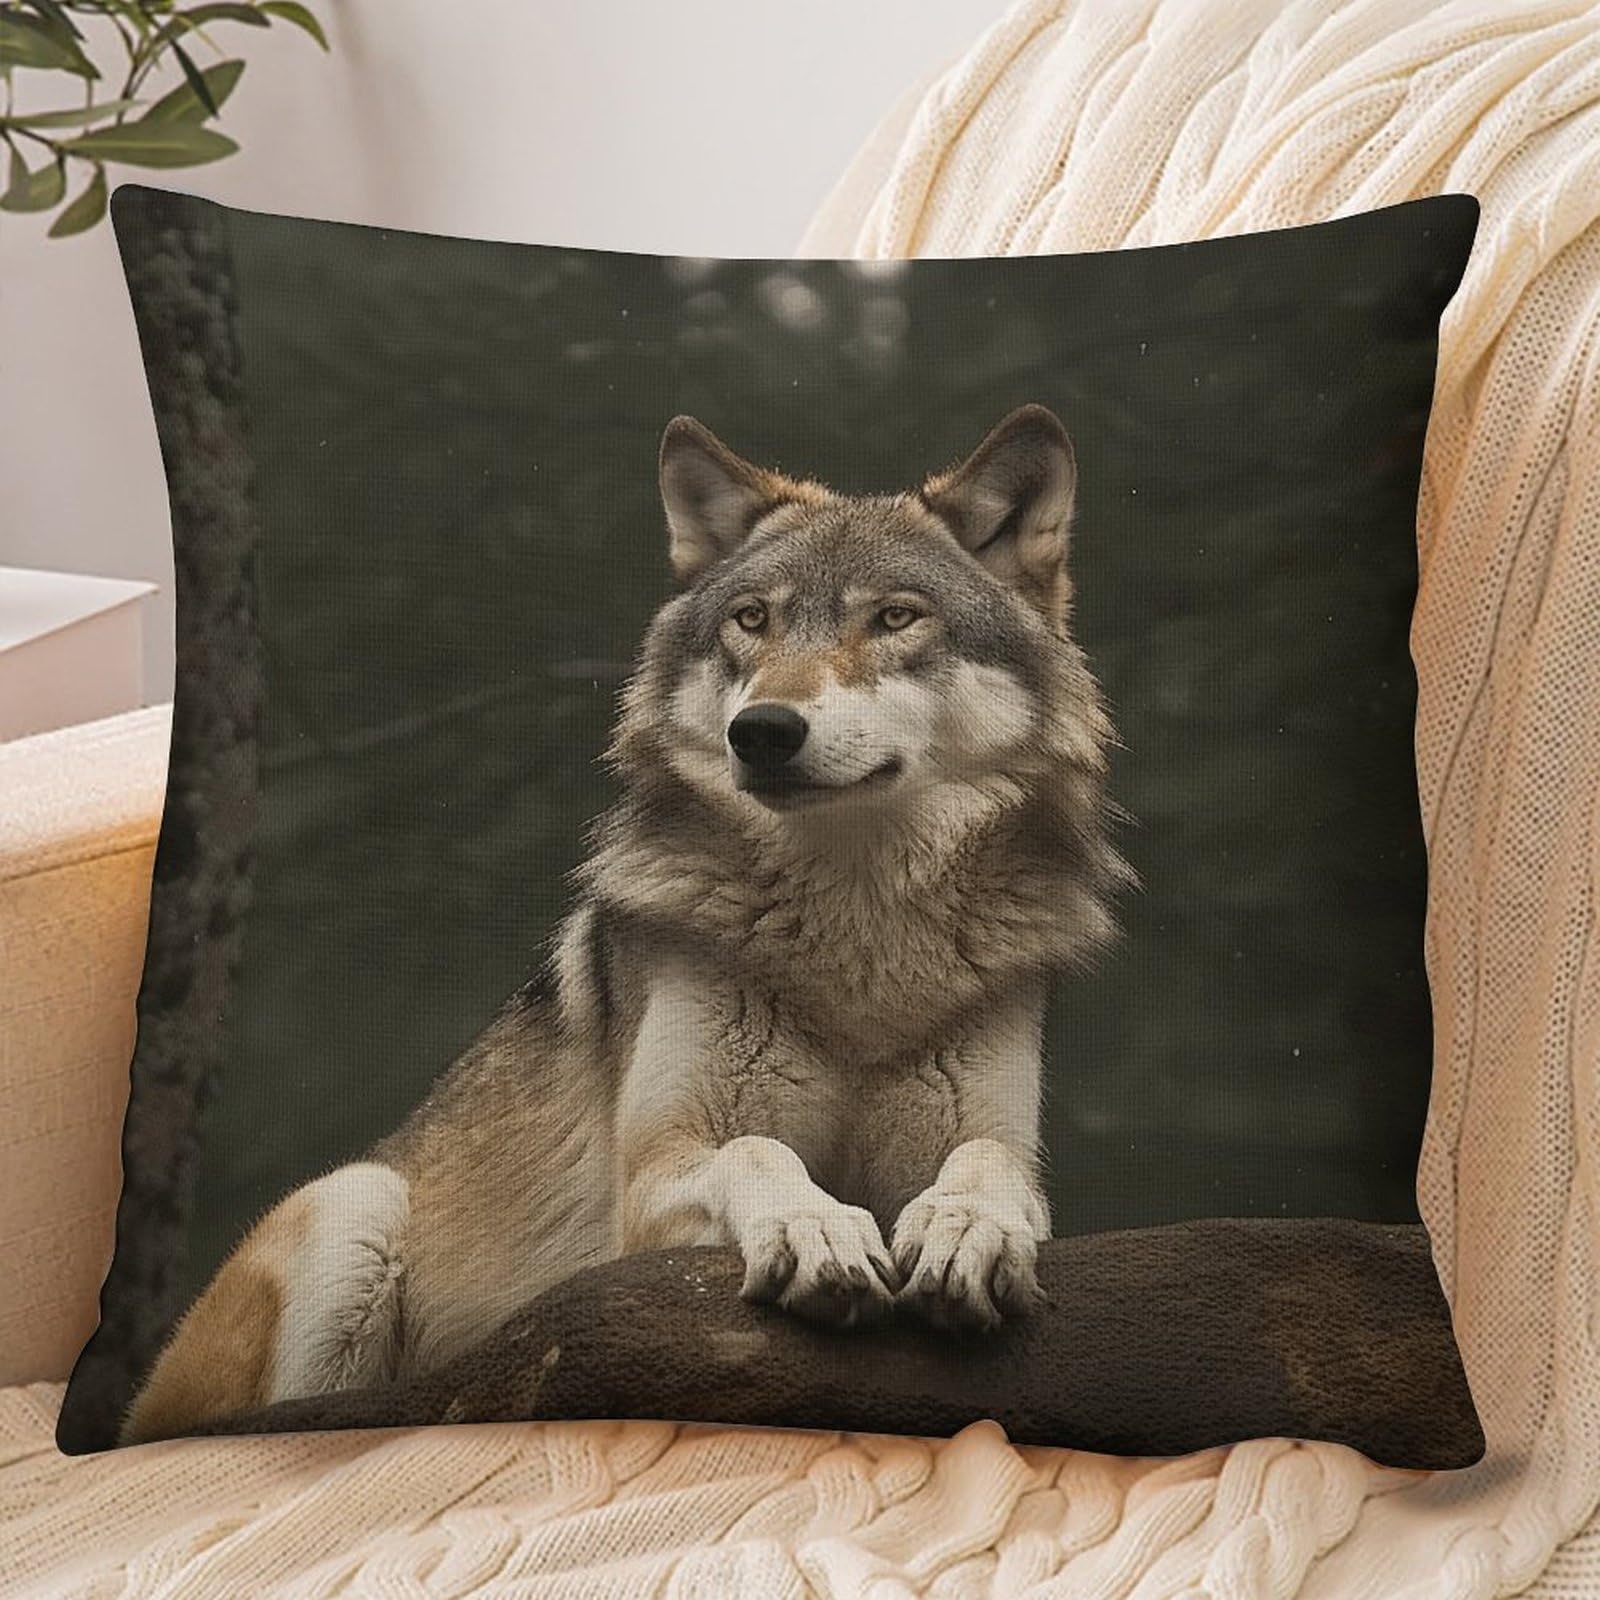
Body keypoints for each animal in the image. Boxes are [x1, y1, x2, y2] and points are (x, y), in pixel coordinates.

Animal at [122, 403, 1130, 1444]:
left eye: (895, 617)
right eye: (751, 620)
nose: (762, 731)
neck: (855, 947)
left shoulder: (999, 1151)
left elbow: (989, 1168)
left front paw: (966, 1229)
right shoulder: (650, 1193)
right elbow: (759, 1152)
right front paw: (814, 1226)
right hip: (355, 1204)